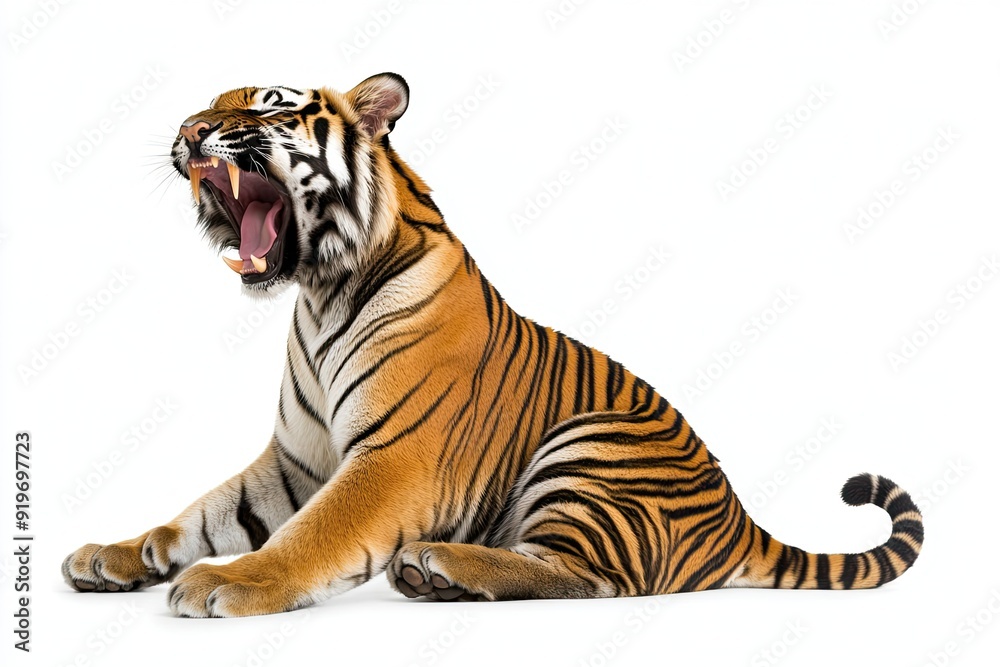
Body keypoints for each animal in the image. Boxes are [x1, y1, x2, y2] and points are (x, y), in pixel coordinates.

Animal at [62, 73, 924, 617]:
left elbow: (311, 534)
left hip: (589, 443)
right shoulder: (296, 457)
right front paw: (115, 554)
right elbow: (199, 515)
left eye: (270, 109)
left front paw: (232, 581)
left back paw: (440, 564)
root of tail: (742, 518)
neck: (318, 289)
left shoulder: (391, 457)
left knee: (592, 577)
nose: (189, 132)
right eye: (204, 106)